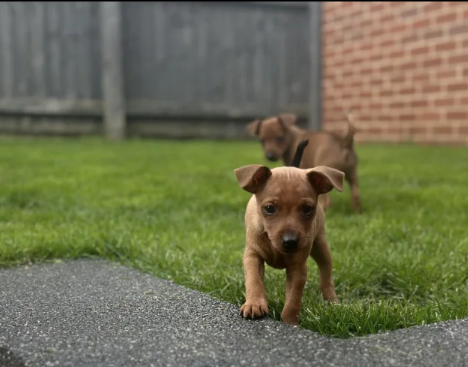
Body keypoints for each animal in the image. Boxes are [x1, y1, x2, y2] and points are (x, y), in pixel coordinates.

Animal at [234, 140, 344, 324]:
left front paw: (290, 322)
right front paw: (254, 304)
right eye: (269, 209)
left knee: (326, 275)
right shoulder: (252, 255)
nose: (290, 241)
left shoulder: (298, 267)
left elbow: (293, 299)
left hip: (321, 246)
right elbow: (254, 280)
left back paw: (332, 300)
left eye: (308, 209)